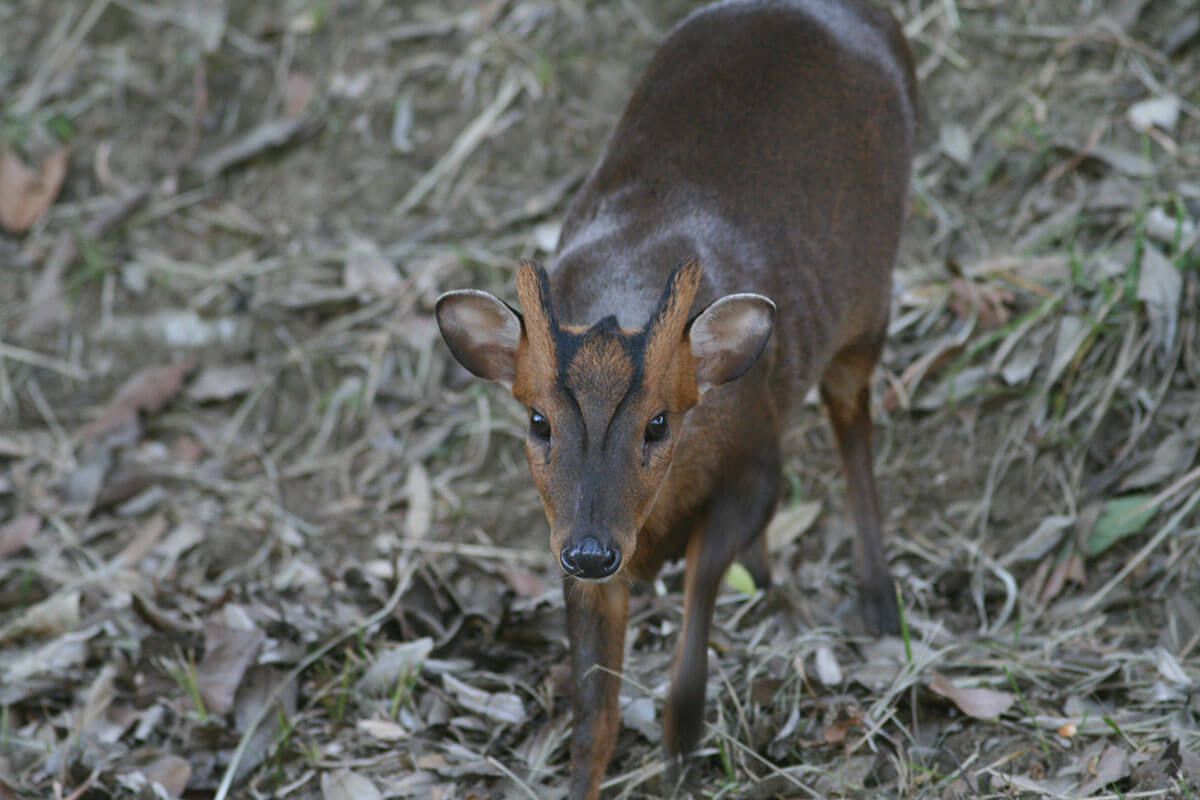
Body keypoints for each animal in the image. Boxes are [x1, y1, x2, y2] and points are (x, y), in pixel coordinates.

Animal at [436, 0, 912, 796]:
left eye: (659, 423)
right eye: (538, 420)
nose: (593, 550)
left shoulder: (757, 462)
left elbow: (703, 572)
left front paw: (682, 731)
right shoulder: (568, 542)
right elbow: (593, 715)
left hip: (869, 297)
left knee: (852, 417)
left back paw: (877, 597)